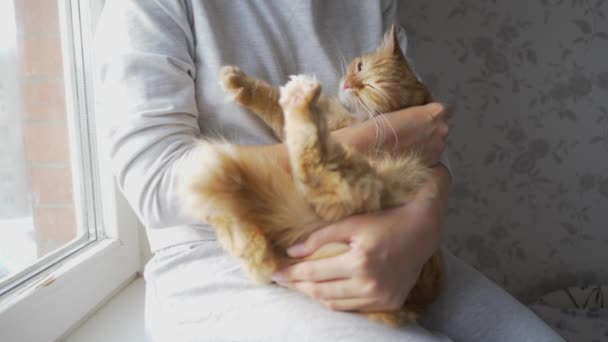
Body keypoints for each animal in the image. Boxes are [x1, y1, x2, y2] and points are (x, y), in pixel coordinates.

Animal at [178, 26, 444, 326]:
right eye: (360, 67)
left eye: (371, 88)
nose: (349, 84)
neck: (354, 115)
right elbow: (270, 100)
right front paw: (242, 85)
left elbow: (274, 104)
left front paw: (245, 84)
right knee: (260, 258)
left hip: (355, 183)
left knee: (316, 176)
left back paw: (300, 101)